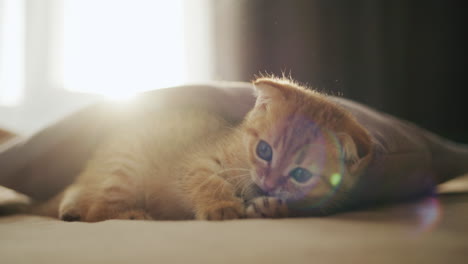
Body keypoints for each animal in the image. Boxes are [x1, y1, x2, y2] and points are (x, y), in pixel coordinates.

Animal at [42, 77, 372, 222]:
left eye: (301, 174)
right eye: (264, 151)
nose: (268, 183)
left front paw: (273, 207)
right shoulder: (195, 161)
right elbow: (206, 180)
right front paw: (221, 206)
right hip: (125, 168)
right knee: (97, 211)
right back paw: (132, 215)